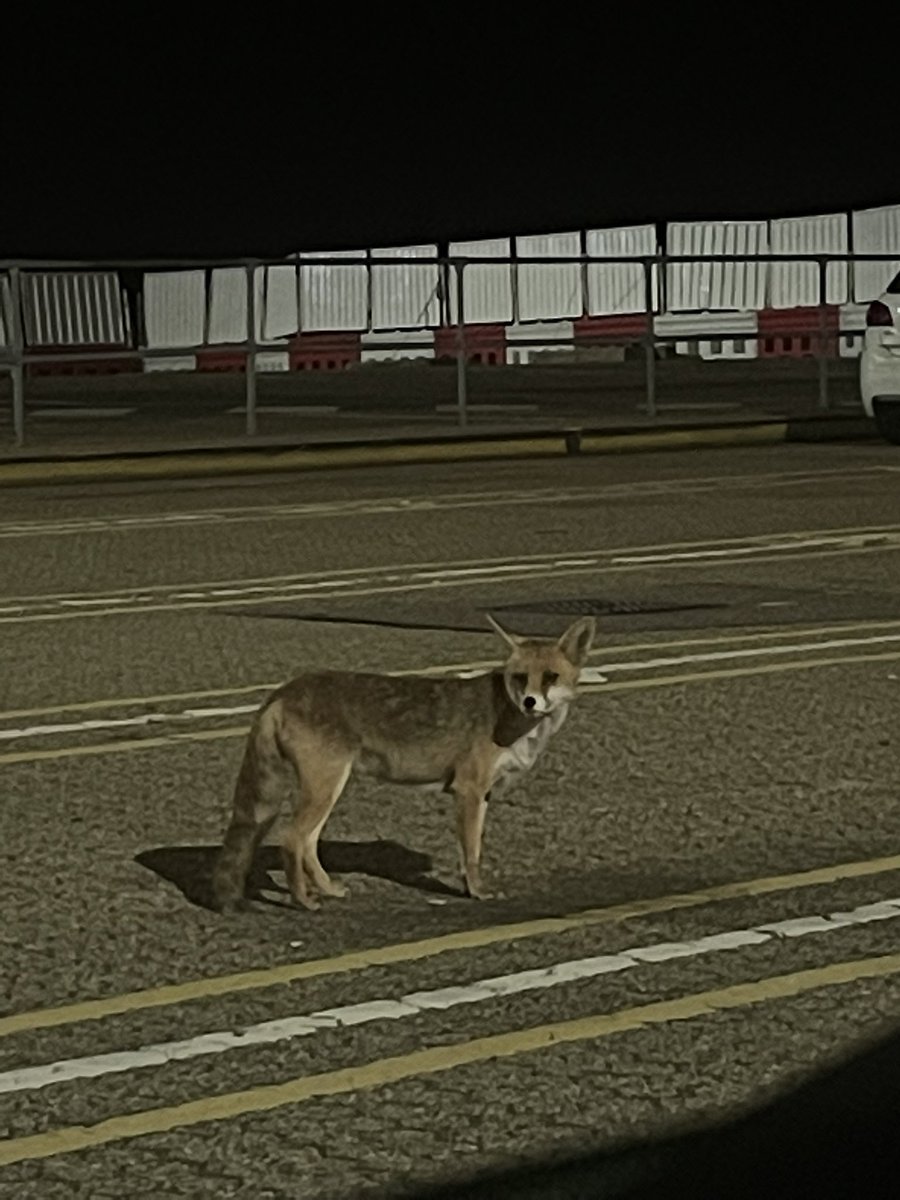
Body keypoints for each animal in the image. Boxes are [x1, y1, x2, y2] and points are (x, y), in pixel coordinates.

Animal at [210, 613, 596, 913]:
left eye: (551, 677)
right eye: (520, 678)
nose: (530, 702)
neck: (509, 721)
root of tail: (283, 691)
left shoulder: (484, 793)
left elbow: (475, 848)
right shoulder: (468, 790)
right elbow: (471, 852)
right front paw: (476, 892)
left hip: (329, 789)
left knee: (308, 843)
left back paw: (327, 888)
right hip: (325, 787)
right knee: (292, 841)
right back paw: (303, 901)